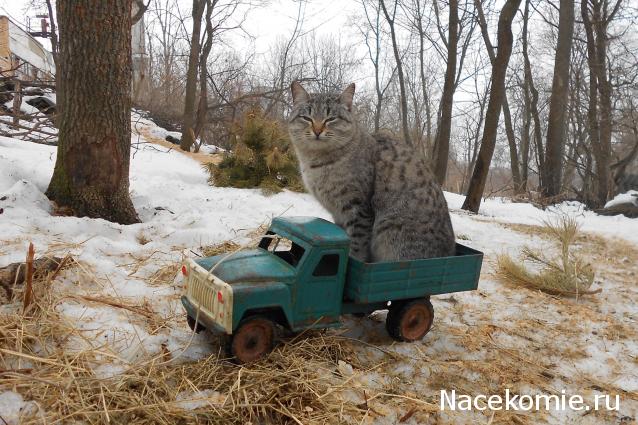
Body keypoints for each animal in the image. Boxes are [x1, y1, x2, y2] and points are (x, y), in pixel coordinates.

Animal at [288, 80, 458, 262]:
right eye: (307, 118)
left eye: (331, 118)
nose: (318, 130)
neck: (317, 162)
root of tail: (449, 254)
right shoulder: (338, 215)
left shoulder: (358, 209)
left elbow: (357, 246)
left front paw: (352, 261)